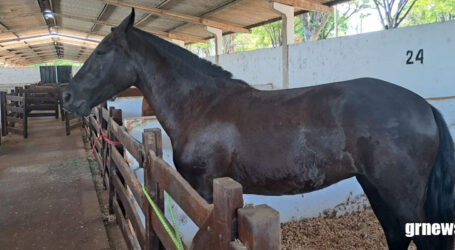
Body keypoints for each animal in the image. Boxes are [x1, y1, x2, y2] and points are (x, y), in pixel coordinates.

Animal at [64, 9, 455, 250]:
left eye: (102, 52)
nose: (67, 96)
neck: (202, 105)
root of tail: (423, 105)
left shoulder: (206, 193)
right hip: (375, 186)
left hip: (401, 195)